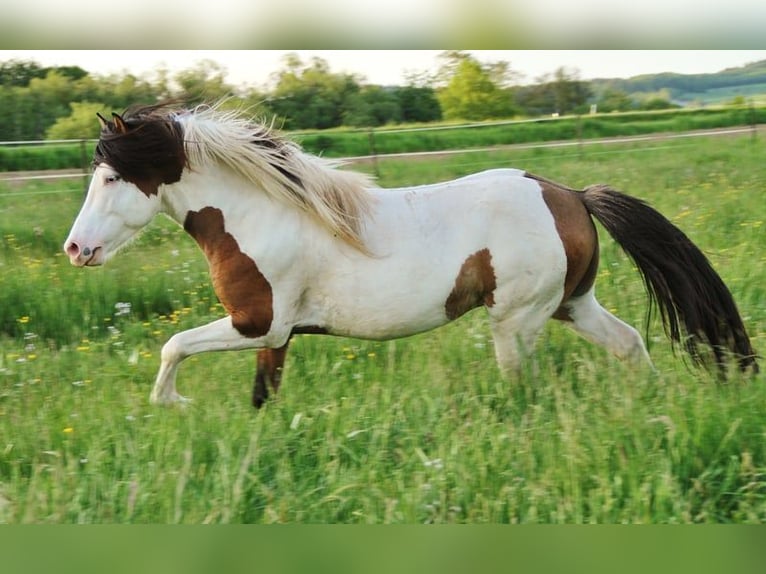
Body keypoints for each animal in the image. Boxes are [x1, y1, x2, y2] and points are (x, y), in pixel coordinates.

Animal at [63, 103, 759, 408]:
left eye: (109, 178)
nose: (75, 249)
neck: (262, 218)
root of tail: (570, 194)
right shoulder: (276, 337)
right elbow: (263, 396)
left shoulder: (258, 323)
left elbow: (171, 345)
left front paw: (175, 405)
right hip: (572, 305)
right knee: (630, 345)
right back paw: (658, 407)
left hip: (517, 321)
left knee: (524, 386)